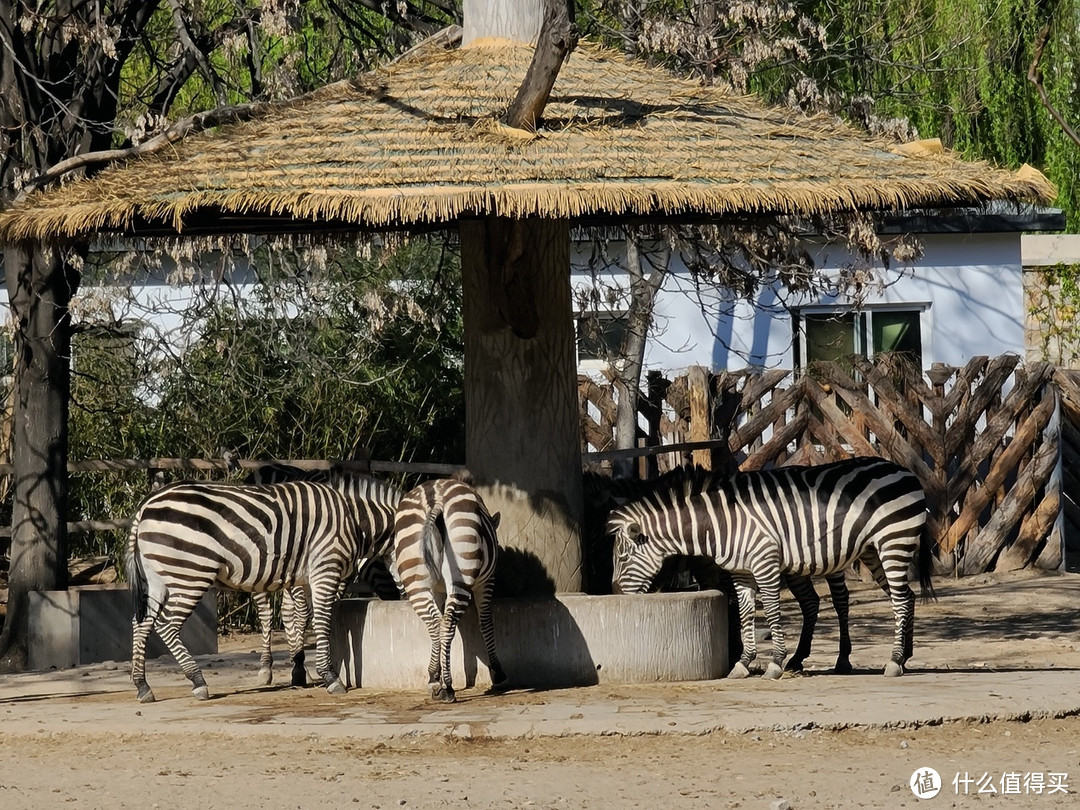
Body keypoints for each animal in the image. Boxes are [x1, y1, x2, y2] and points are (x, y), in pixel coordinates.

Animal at [128, 475, 386, 704]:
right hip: (191, 573)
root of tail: (146, 505)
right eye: (381, 564)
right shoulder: (320, 568)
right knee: (167, 625)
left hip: (157, 578)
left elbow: (300, 616)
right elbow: (314, 617)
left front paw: (300, 669)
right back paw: (198, 681)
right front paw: (323, 675)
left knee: (141, 623)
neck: (352, 519)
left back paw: (143, 686)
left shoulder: (304, 577)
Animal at [245, 466, 406, 686]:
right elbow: (304, 615)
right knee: (267, 613)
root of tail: (262, 468)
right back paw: (266, 668)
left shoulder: (337, 575)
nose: (396, 598)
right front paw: (302, 668)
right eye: (381, 557)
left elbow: (325, 612)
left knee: (286, 612)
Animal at [395, 475, 507, 704]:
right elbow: (486, 622)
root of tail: (434, 498)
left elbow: (438, 623)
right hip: (461, 574)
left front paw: (434, 675)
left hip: (415, 581)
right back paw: (447, 688)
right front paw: (497, 672)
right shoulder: (486, 581)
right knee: (446, 624)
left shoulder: (438, 590)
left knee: (434, 624)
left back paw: (435, 680)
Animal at [609, 460, 937, 682]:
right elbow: (744, 614)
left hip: (894, 541)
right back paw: (903, 657)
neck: (719, 523)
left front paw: (776, 662)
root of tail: (904, 470)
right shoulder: (740, 572)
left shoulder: (764, 563)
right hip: (873, 550)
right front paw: (742, 663)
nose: (614, 593)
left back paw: (892, 661)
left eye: (623, 557)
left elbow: (771, 610)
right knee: (905, 597)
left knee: (895, 600)